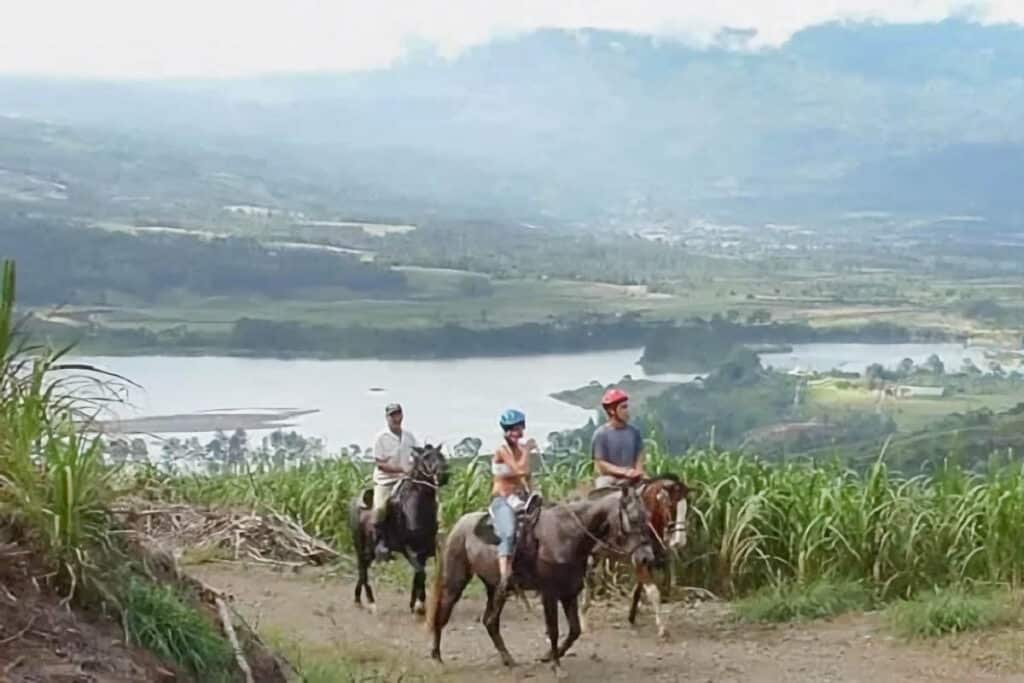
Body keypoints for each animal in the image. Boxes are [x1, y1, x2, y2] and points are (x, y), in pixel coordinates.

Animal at [350, 446, 446, 618]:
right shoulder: (409, 550)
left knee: (363, 569)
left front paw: (416, 604)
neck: (416, 510)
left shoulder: (424, 551)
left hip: (370, 550)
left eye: (441, 456)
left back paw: (358, 600)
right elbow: (421, 574)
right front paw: (418, 606)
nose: (444, 475)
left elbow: (419, 576)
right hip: (360, 545)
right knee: (362, 570)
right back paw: (371, 604)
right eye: (426, 457)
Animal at [425, 483, 651, 675]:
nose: (646, 558)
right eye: (633, 518)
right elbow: (554, 629)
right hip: (455, 583)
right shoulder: (549, 594)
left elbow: (575, 630)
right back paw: (437, 657)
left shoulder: (569, 593)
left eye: (647, 517)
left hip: (496, 588)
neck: (566, 534)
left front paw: (549, 656)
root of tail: (458, 526)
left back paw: (508, 660)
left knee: (490, 622)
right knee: (442, 615)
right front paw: (556, 666)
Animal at [581, 475, 692, 643]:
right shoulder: (639, 561)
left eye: (686, 508)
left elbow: (639, 590)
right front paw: (662, 629)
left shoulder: (645, 559)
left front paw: (631, 617)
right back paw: (583, 620)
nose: (679, 541)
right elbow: (653, 592)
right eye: (670, 505)